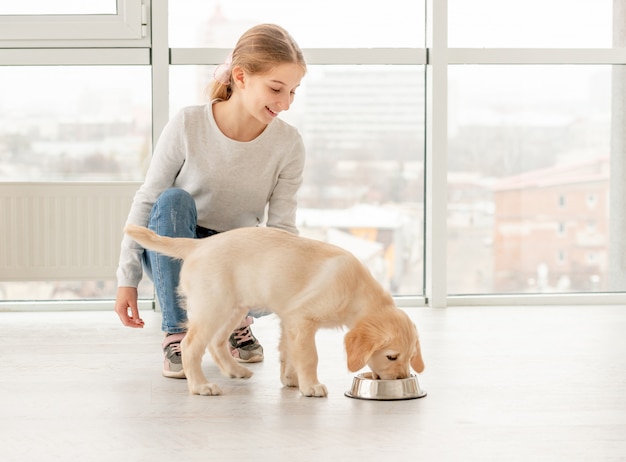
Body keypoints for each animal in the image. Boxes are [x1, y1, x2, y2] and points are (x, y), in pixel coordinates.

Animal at [123, 225, 424, 398]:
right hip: (213, 307)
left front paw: (291, 380)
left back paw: (235, 371)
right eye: (391, 356)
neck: (355, 289)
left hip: (234, 307)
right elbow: (308, 357)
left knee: (217, 343)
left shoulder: (289, 320)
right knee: (191, 346)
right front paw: (311, 386)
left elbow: (288, 352)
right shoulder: (303, 320)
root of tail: (198, 244)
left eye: (410, 356)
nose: (402, 379)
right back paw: (200, 386)